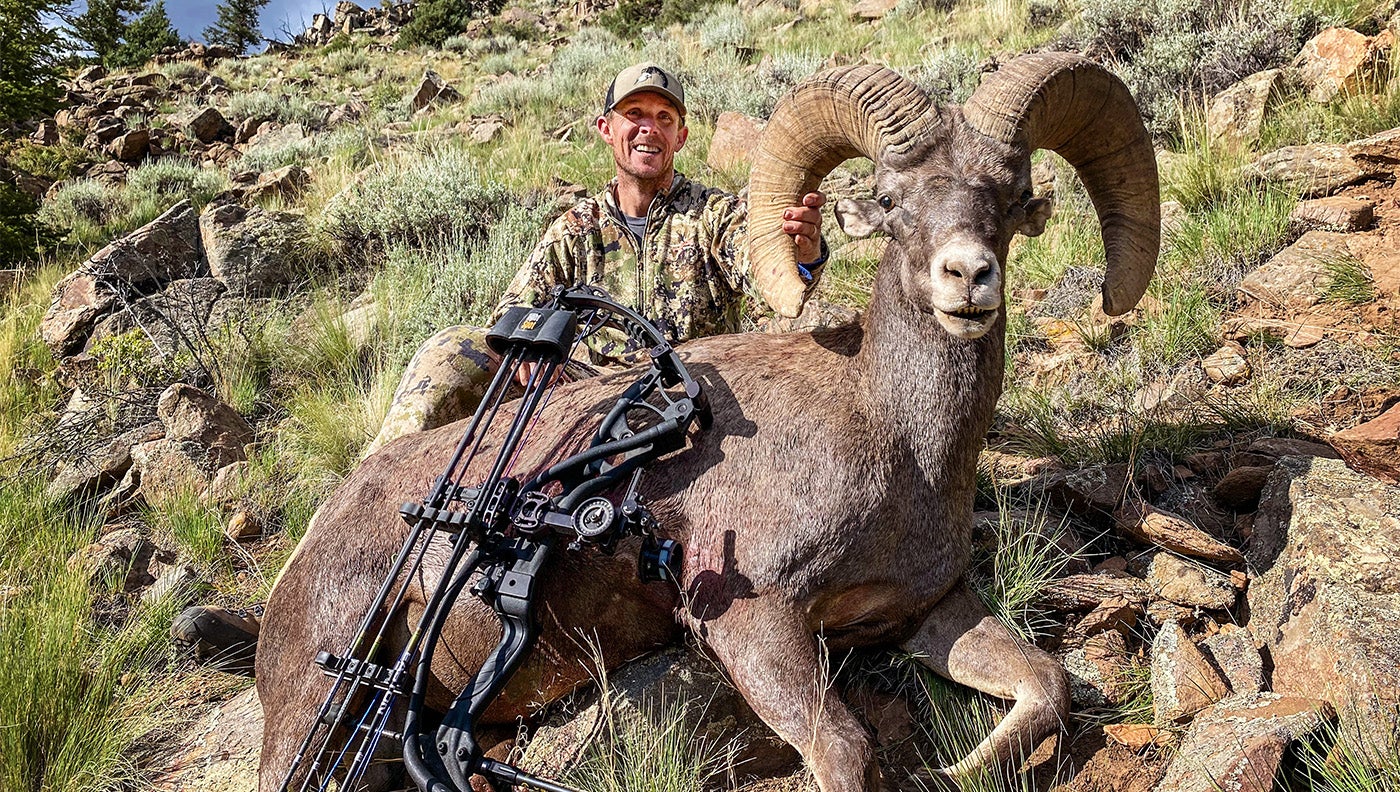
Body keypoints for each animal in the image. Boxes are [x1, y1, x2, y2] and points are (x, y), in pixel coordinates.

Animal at [256, 52, 1160, 792]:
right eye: (892, 200)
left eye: (1012, 197)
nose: (967, 277)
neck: (895, 437)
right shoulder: (754, 622)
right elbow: (842, 749)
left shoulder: (924, 613)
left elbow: (1046, 686)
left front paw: (949, 771)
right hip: (313, 703)